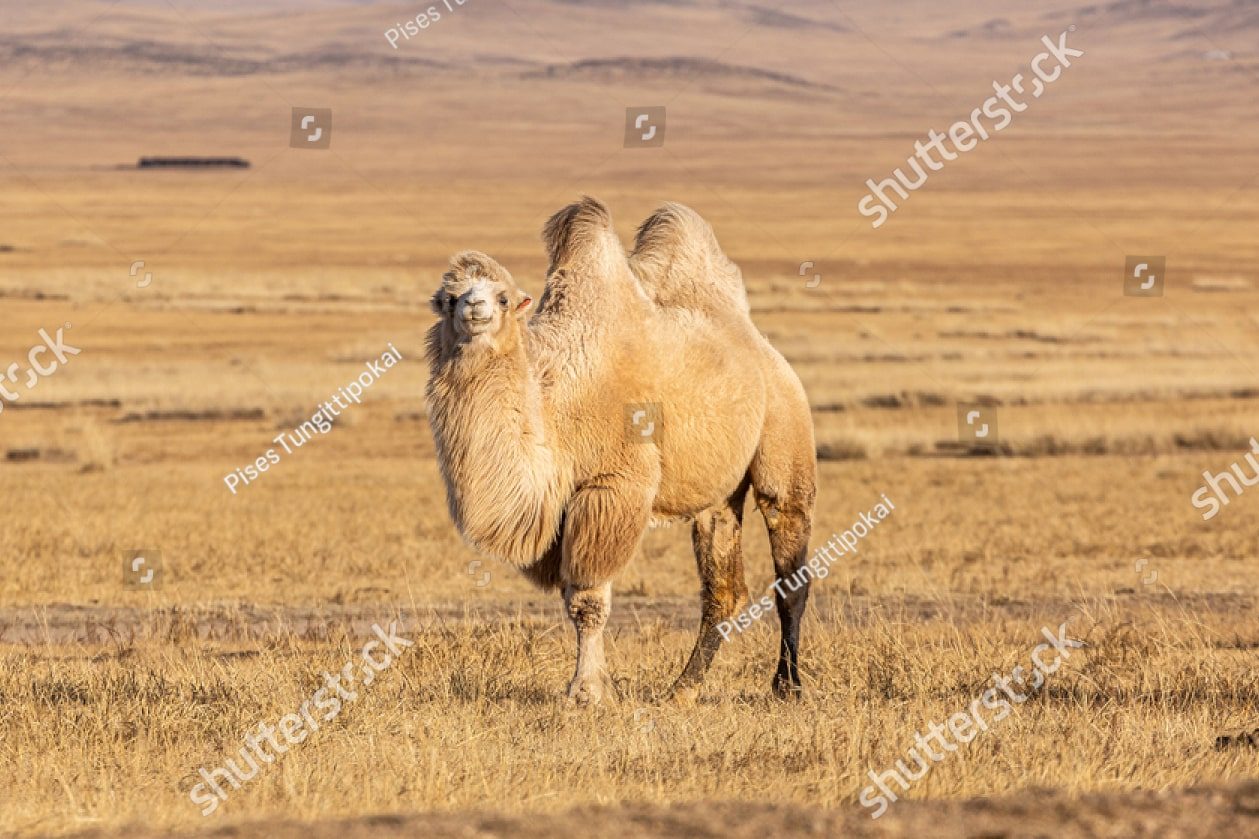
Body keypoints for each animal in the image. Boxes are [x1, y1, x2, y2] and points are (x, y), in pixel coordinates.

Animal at [424, 197, 816, 704]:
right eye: (449, 297)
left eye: (504, 296)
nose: (474, 307)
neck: (557, 401)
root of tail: (763, 349)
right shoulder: (560, 515)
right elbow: (572, 597)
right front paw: (592, 686)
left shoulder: (611, 487)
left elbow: (589, 599)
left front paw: (587, 691)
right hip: (717, 495)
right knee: (723, 589)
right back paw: (683, 689)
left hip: (785, 431)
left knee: (790, 563)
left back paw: (787, 686)